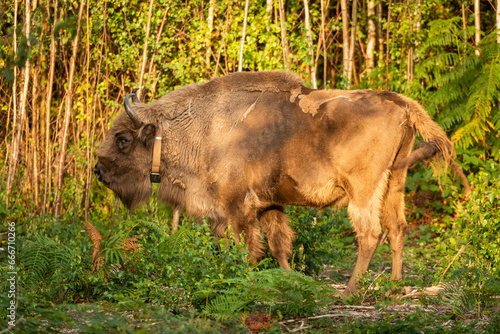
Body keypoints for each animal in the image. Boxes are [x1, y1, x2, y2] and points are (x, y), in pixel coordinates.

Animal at [94, 71, 468, 294]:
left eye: (123, 140)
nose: (98, 170)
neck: (202, 129)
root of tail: (401, 102)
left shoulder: (236, 208)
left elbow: (244, 247)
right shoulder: (269, 204)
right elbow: (278, 245)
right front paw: (289, 279)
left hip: (362, 190)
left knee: (370, 233)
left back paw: (350, 289)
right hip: (394, 182)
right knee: (397, 228)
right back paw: (393, 285)